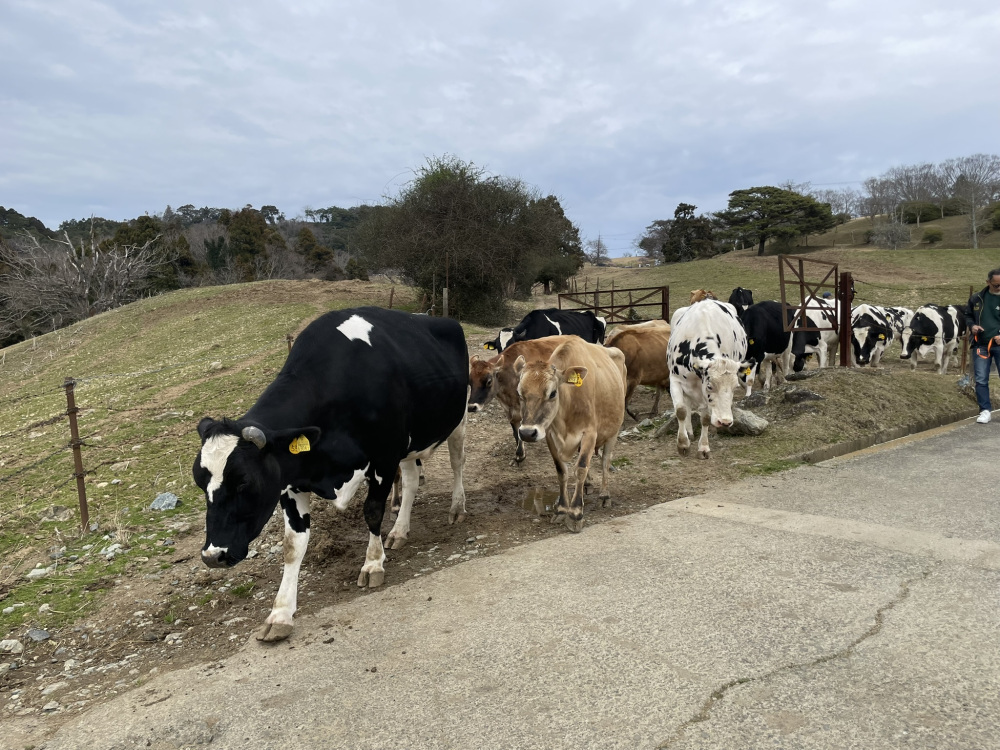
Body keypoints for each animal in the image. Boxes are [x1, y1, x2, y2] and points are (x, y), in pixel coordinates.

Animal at [193, 307, 469, 642]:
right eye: (198, 482)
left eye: (244, 481)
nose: (212, 556)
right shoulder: (291, 482)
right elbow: (292, 546)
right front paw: (280, 613)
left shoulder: (384, 457)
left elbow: (372, 511)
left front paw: (372, 564)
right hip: (410, 443)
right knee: (413, 480)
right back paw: (399, 532)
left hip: (457, 419)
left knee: (457, 462)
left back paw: (457, 508)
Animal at [513, 338, 626, 532]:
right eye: (520, 393)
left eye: (552, 393)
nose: (527, 433)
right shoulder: (549, 434)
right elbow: (561, 471)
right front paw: (561, 509)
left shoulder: (589, 433)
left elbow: (580, 468)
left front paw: (575, 513)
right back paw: (588, 484)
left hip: (614, 430)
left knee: (605, 461)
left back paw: (604, 496)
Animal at [667, 300, 755, 459]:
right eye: (710, 386)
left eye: (735, 388)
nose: (725, 422)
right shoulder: (675, 380)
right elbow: (681, 411)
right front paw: (683, 444)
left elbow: (706, 418)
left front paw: (703, 447)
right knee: (687, 406)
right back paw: (689, 432)